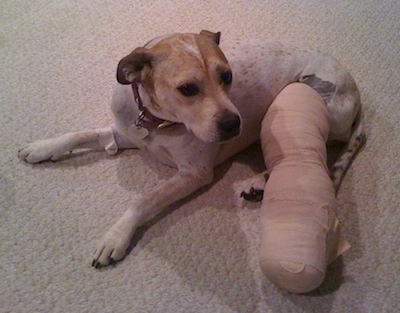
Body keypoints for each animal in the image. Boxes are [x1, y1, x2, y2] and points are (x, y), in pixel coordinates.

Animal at [17, 30, 364, 266]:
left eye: (228, 76)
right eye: (187, 89)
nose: (233, 124)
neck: (156, 121)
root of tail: (355, 89)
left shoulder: (193, 174)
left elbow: (143, 200)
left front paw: (116, 235)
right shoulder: (124, 134)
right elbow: (79, 135)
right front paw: (43, 147)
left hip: (303, 103)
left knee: (316, 155)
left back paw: (261, 181)